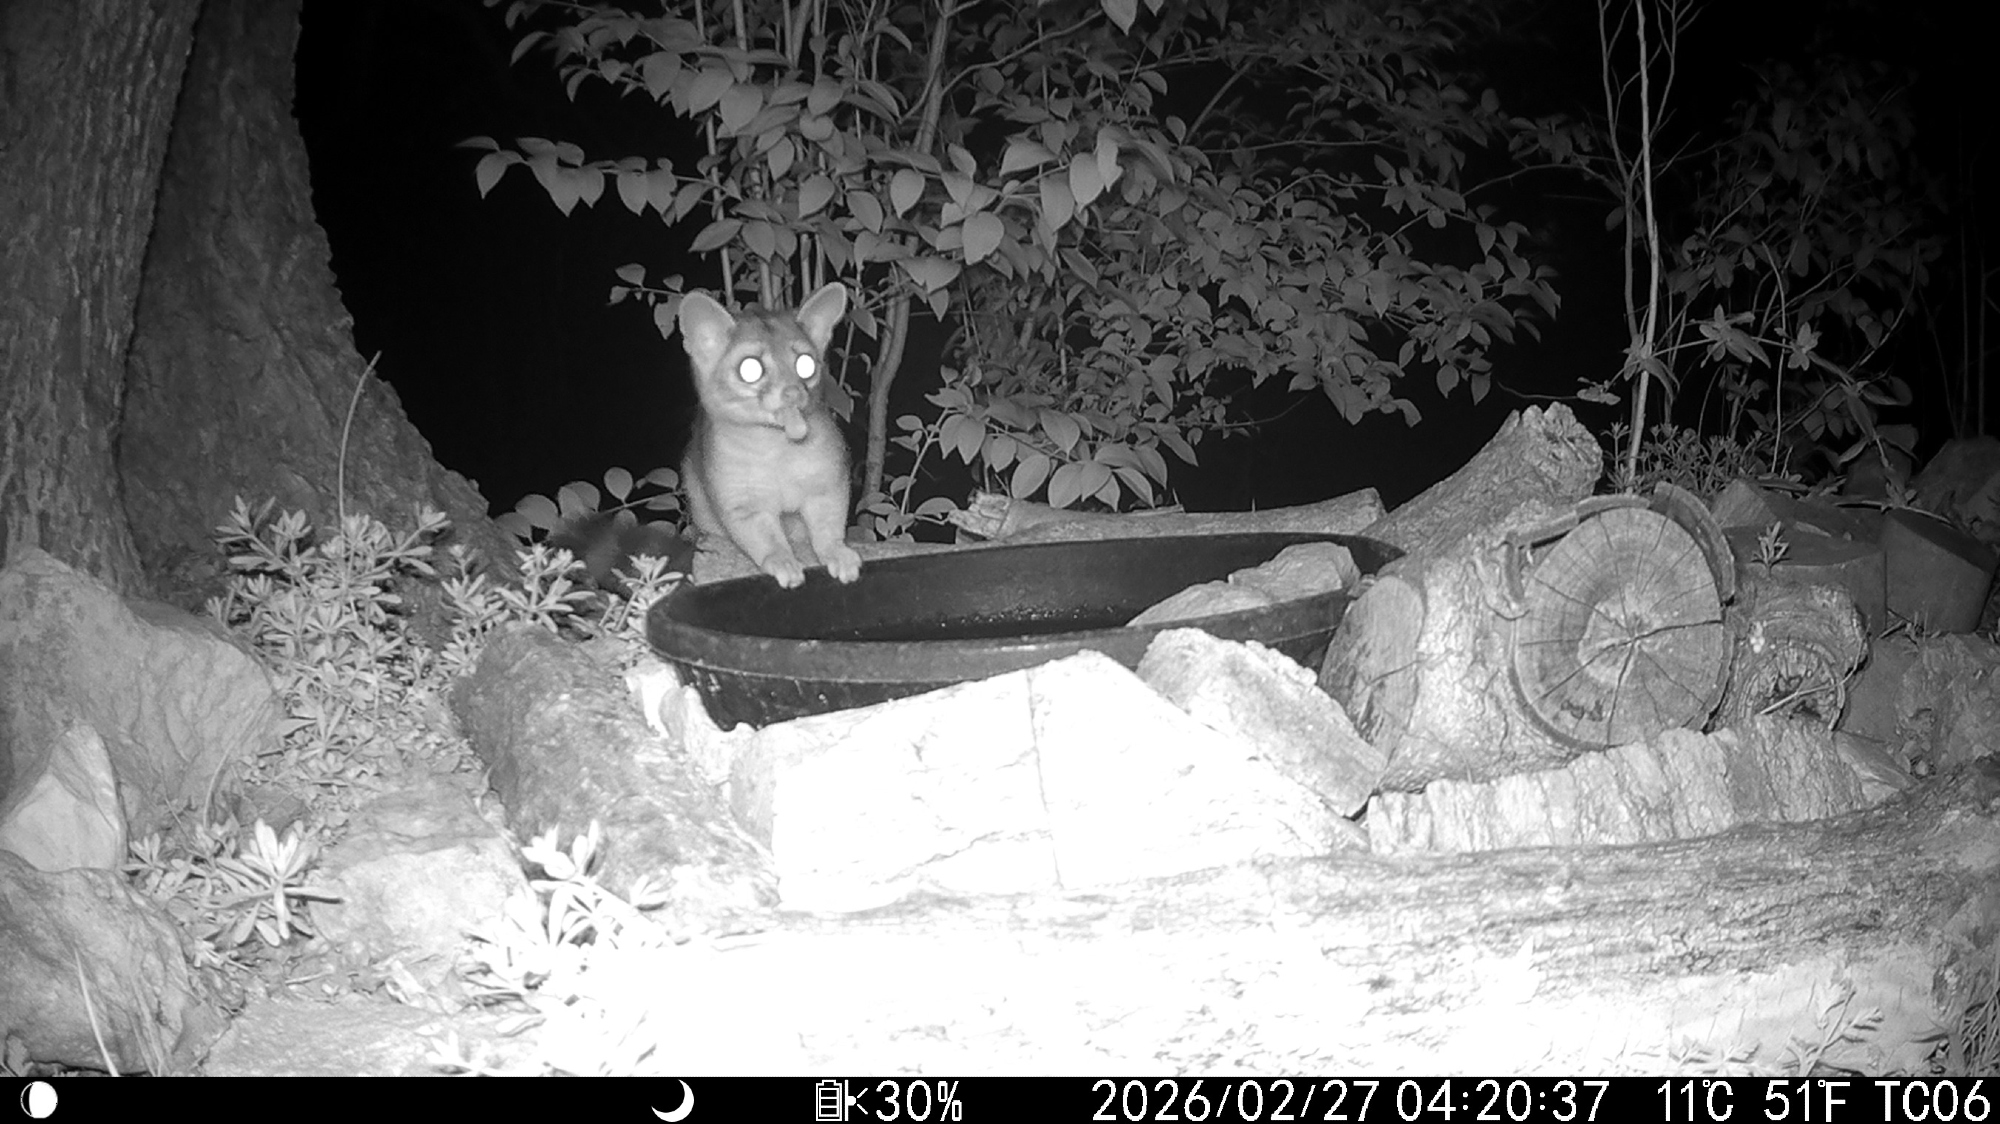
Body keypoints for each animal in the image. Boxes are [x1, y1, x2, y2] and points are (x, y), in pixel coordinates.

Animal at [677, 282, 862, 589]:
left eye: (806, 364)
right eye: (750, 369)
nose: (793, 392)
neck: (776, 448)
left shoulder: (826, 480)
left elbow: (828, 522)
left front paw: (837, 552)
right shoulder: (742, 500)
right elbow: (763, 536)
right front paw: (782, 561)